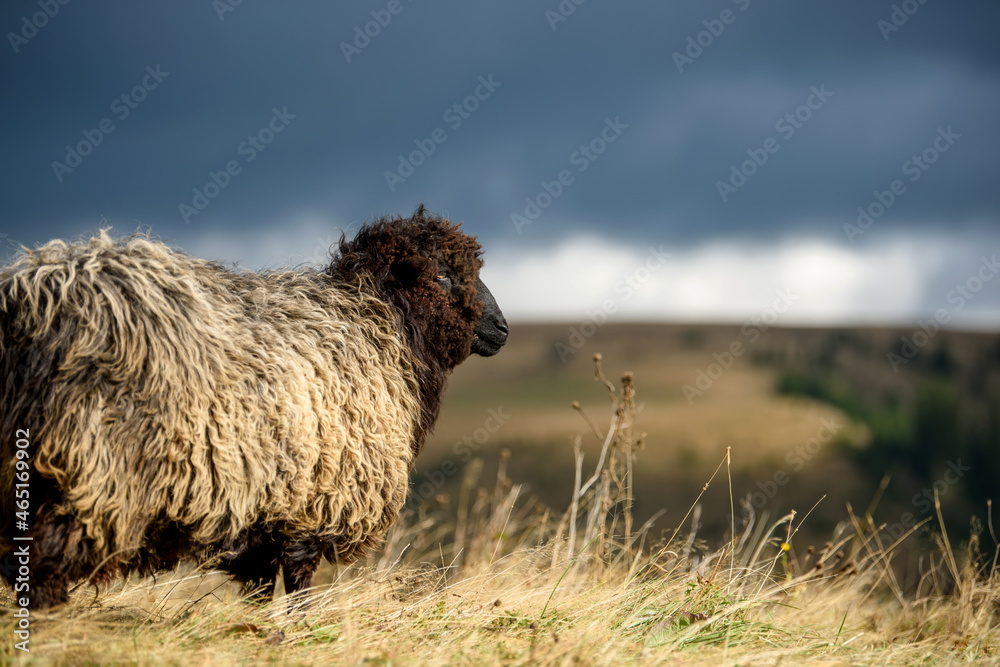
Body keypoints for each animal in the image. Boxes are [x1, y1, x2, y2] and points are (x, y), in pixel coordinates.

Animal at [0, 206, 508, 608]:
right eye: (444, 274)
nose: (502, 328)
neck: (380, 323)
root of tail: (35, 295)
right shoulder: (316, 501)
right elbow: (299, 587)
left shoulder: (264, 513)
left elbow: (262, 590)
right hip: (91, 469)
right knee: (42, 564)